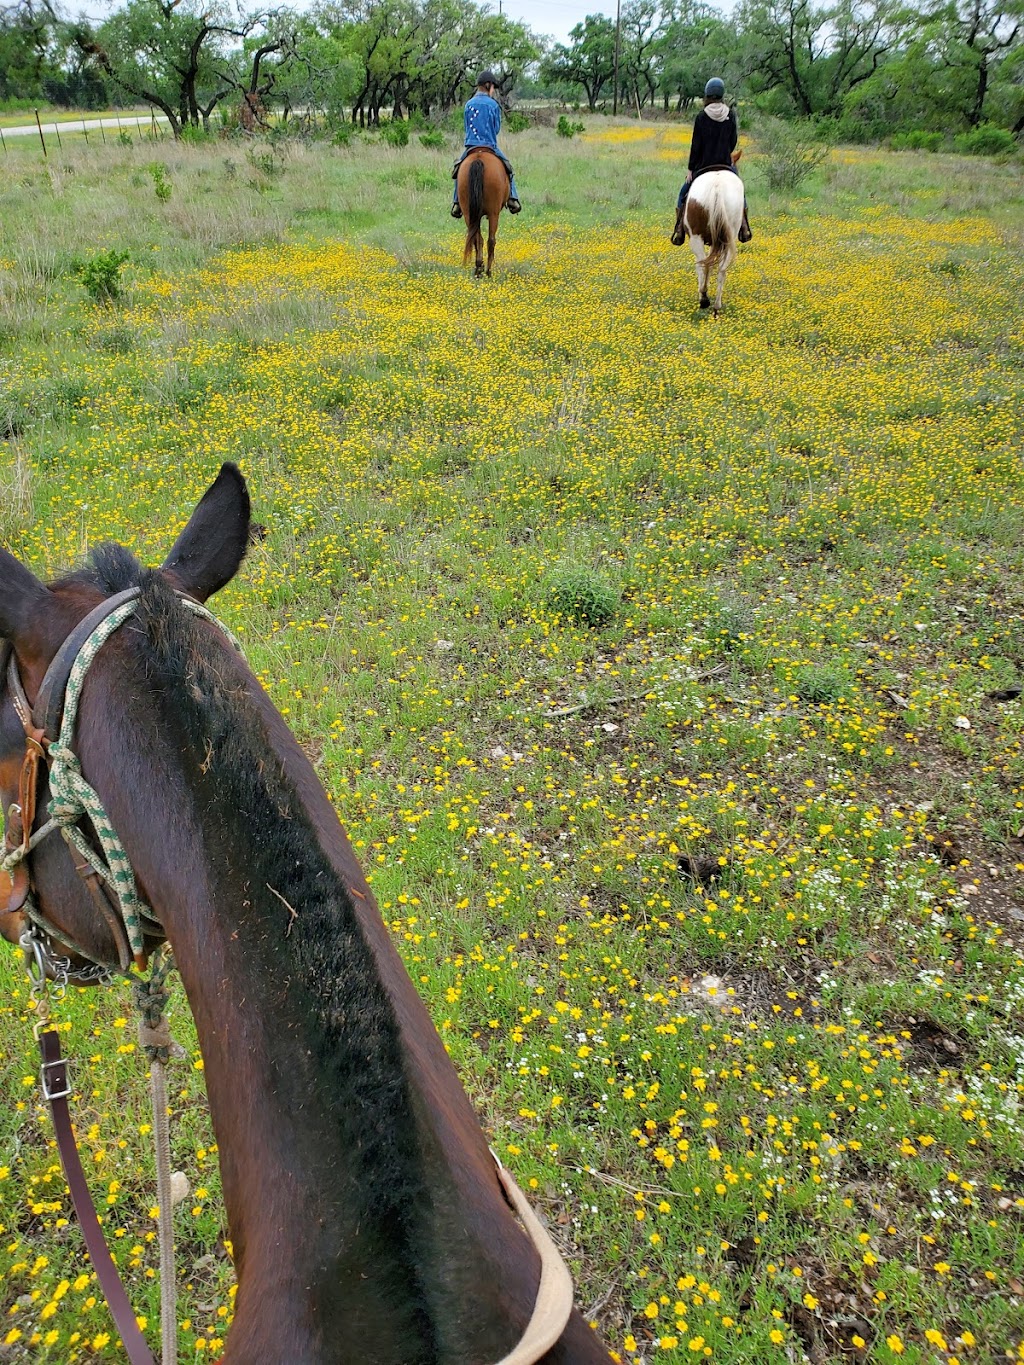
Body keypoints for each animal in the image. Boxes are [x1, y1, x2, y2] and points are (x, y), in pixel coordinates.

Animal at [674, 169, 748, 312]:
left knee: (701, 264)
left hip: (696, 238)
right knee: (721, 268)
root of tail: (717, 186)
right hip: (728, 239)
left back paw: (703, 298)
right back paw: (717, 305)